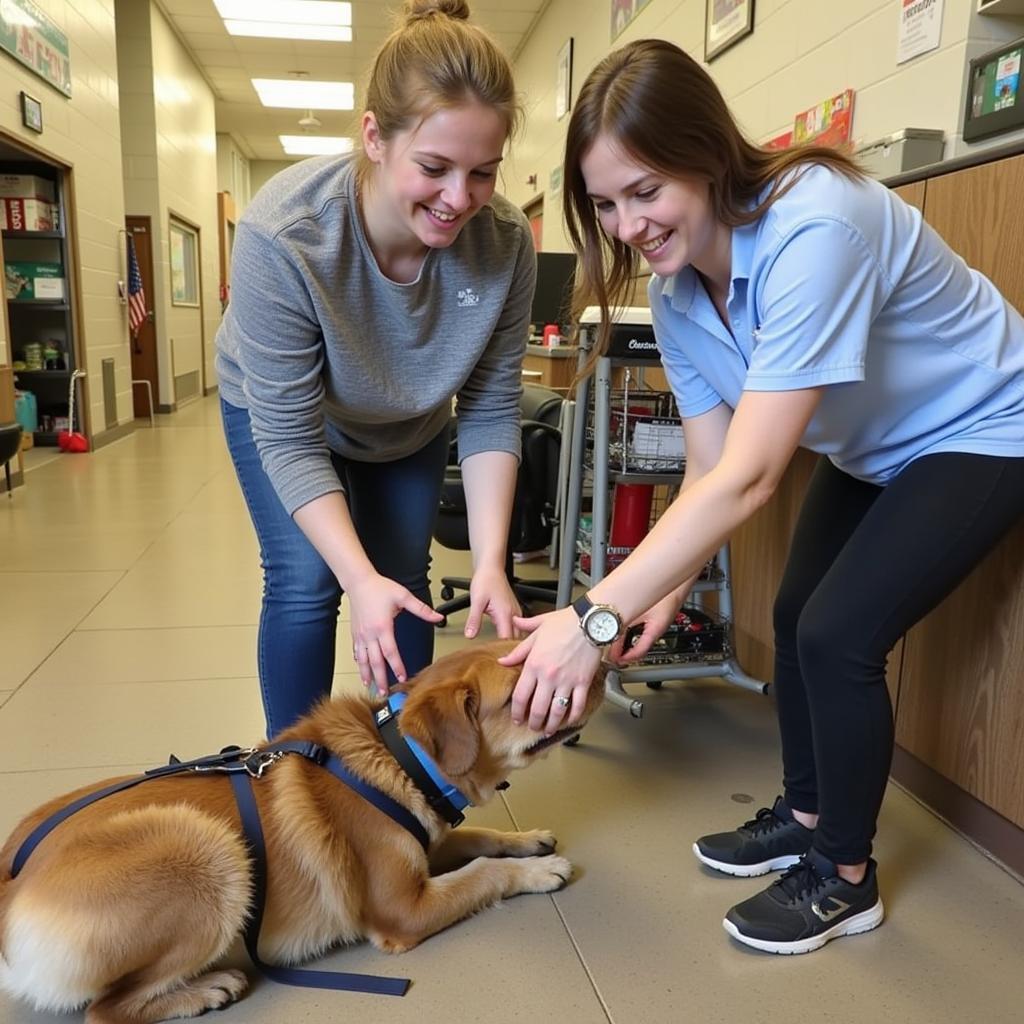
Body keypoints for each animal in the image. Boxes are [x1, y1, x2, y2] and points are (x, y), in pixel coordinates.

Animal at [0, 638, 602, 1024]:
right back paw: (204, 991)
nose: (600, 665)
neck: (400, 756)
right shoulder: (404, 909)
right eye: (531, 688)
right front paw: (538, 870)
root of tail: (9, 885)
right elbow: (483, 873)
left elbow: (479, 839)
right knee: (105, 1011)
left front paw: (527, 841)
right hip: (207, 853)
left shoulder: (426, 848)